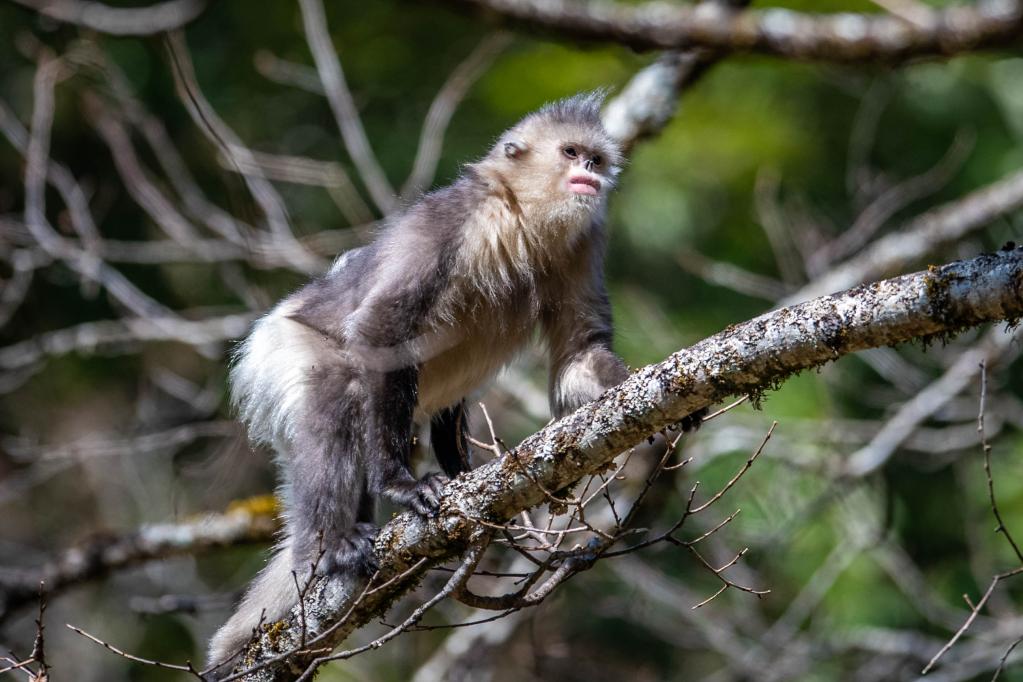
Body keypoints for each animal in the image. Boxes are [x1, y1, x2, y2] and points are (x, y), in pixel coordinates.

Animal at [209, 90, 646, 666]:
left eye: (595, 159)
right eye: (570, 152)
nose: (589, 174)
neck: (521, 219)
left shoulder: (583, 242)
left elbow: (580, 352)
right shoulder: (448, 222)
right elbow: (382, 328)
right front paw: (400, 483)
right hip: (281, 347)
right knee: (339, 391)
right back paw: (327, 549)